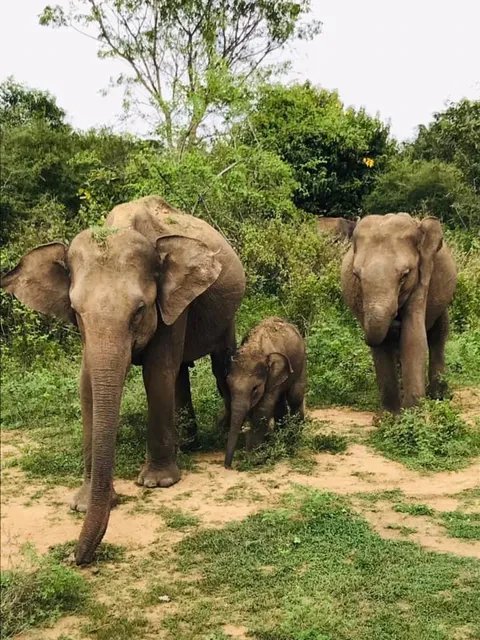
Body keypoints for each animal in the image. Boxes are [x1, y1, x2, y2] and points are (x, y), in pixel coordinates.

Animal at [1, 196, 246, 564]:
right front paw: (82, 503)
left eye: (140, 310)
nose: (74, 558)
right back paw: (186, 445)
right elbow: (87, 384)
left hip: (227, 312)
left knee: (219, 365)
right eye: (76, 312)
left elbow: (157, 371)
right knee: (181, 373)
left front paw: (157, 484)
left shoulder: (171, 301)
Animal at [224, 317, 306, 468]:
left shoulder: (274, 374)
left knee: (295, 397)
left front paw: (253, 459)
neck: (255, 347)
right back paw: (280, 438)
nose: (227, 466)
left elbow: (262, 410)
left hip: (302, 362)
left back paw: (293, 440)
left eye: (255, 388)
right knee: (280, 404)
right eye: (228, 385)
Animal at [340, 213, 457, 412]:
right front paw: (391, 415)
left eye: (404, 275)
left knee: (438, 334)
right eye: (356, 276)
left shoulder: (422, 275)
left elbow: (413, 338)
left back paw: (439, 397)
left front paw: (413, 412)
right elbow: (382, 346)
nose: (395, 321)